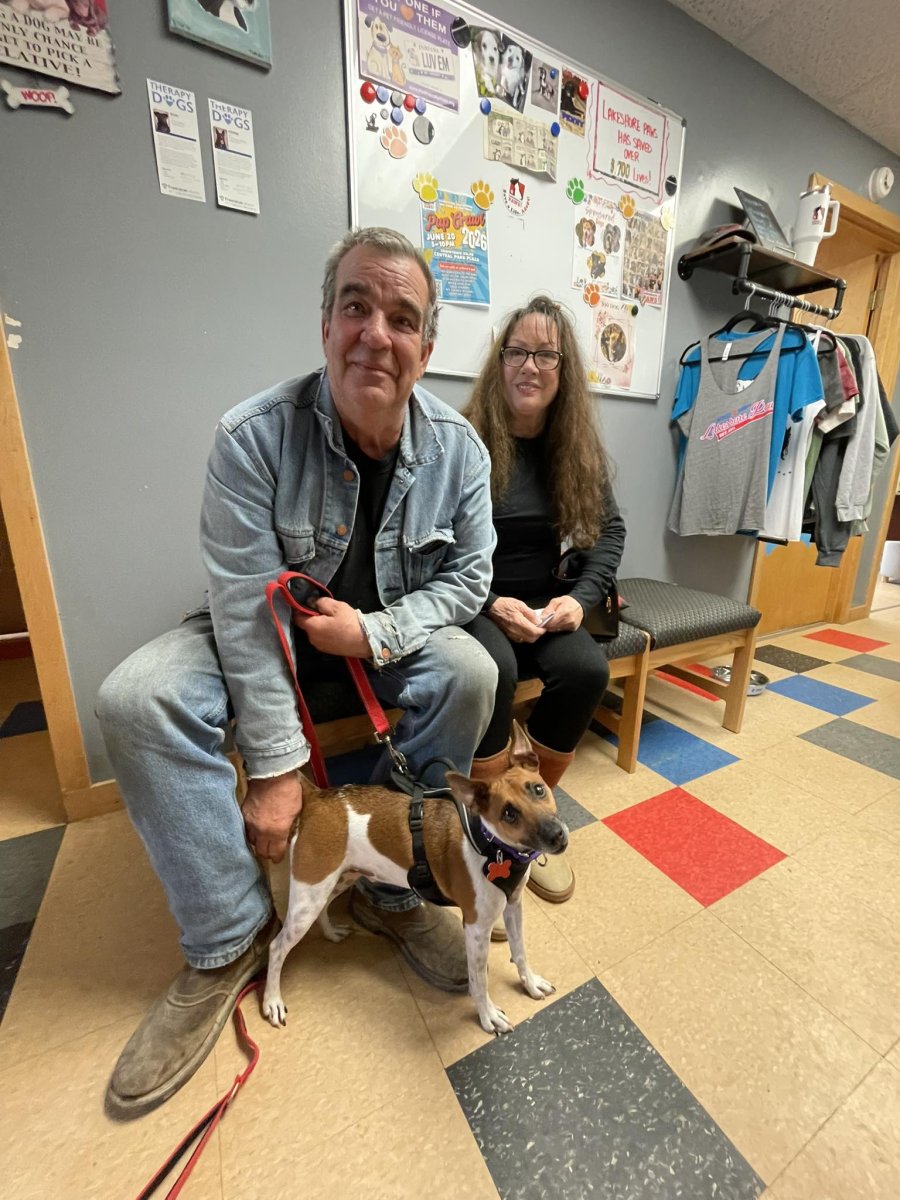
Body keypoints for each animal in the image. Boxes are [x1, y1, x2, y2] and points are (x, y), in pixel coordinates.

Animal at [262, 722, 567, 1036]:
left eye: (538, 789)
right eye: (508, 813)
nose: (556, 836)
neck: (491, 847)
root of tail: (316, 796)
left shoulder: (513, 906)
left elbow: (519, 950)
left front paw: (530, 982)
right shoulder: (475, 928)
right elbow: (478, 980)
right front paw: (487, 1016)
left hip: (335, 881)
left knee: (322, 908)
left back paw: (331, 932)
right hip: (308, 896)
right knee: (277, 947)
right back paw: (272, 1000)